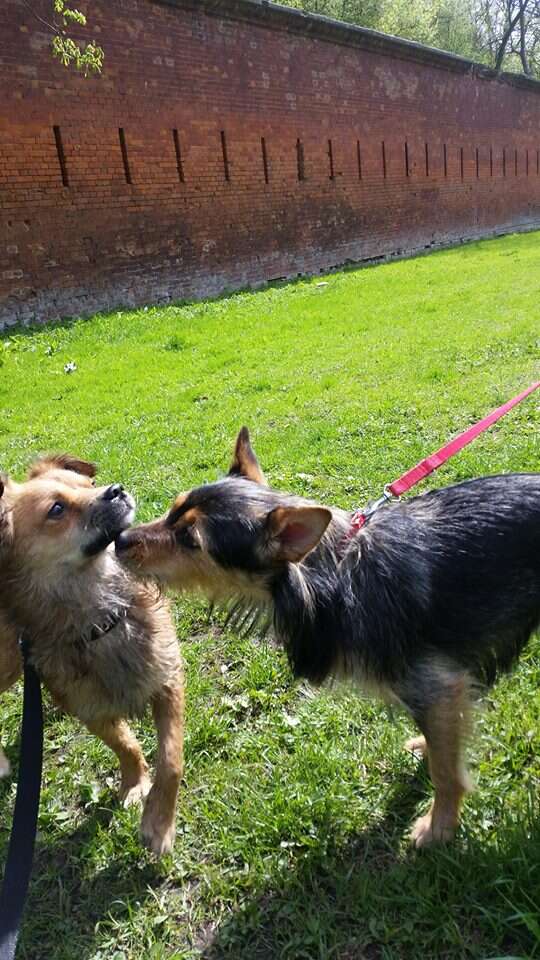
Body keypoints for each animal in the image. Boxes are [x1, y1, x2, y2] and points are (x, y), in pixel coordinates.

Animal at [0, 456, 184, 856]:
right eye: (56, 509)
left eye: (90, 484)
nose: (116, 489)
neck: (101, 617)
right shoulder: (93, 711)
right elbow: (125, 744)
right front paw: (134, 784)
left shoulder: (167, 679)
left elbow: (170, 757)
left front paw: (158, 821)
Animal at [117, 430, 540, 848]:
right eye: (172, 509)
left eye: (189, 539)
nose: (119, 539)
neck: (331, 575)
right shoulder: (443, 690)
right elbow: (443, 743)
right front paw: (428, 749)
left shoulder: (436, 685)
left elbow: (447, 774)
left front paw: (439, 827)